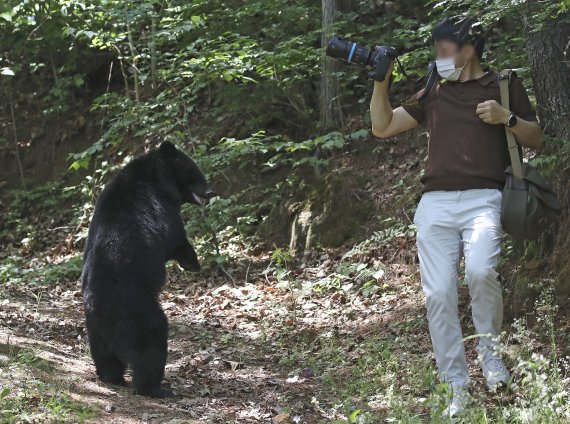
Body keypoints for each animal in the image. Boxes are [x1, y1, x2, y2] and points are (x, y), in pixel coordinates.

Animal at [80, 142, 213, 398]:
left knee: (104, 355)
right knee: (151, 345)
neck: (155, 176)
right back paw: (155, 388)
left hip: (94, 328)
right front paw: (192, 261)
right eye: (196, 171)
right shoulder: (160, 207)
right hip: (137, 314)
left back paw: (111, 377)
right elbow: (174, 237)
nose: (210, 192)